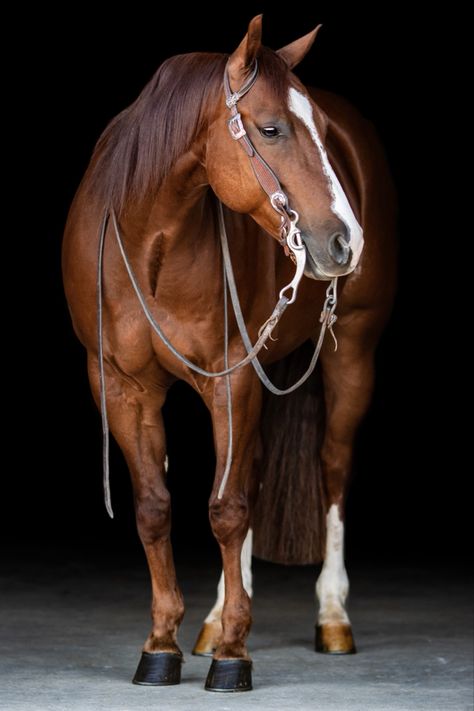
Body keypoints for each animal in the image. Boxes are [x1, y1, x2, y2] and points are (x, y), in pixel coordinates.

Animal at [62, 15, 396, 696]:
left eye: (323, 133)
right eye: (270, 129)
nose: (348, 242)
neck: (150, 240)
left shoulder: (229, 381)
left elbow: (226, 508)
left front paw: (234, 656)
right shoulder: (122, 386)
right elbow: (156, 508)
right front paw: (163, 643)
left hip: (353, 355)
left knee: (331, 469)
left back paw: (331, 615)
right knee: (256, 470)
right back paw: (216, 617)